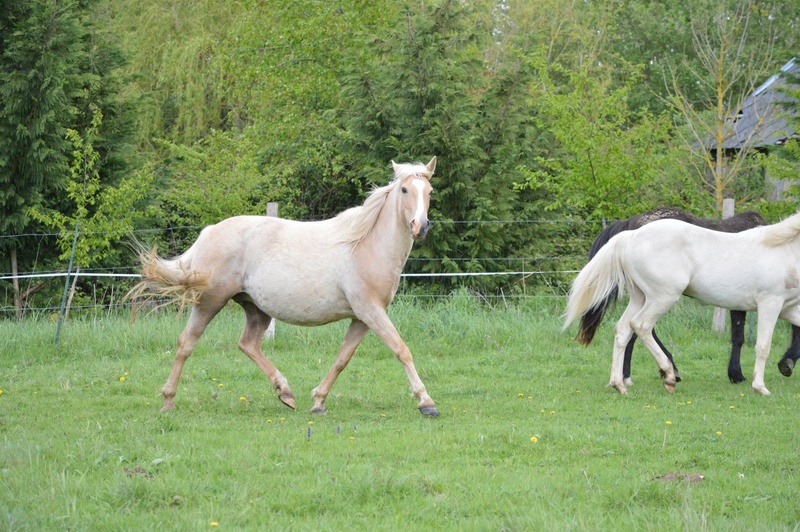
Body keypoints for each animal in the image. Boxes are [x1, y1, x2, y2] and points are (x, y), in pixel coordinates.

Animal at [133, 157, 444, 416]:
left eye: (429, 191)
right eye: (404, 190)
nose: (421, 226)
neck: (366, 245)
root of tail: (208, 232)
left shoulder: (362, 318)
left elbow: (342, 358)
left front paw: (318, 401)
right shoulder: (371, 311)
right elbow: (401, 349)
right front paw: (426, 402)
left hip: (255, 308)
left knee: (248, 344)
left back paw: (285, 392)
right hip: (210, 302)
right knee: (186, 343)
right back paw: (168, 402)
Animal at [564, 212, 800, 394]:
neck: (784, 250)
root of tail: (631, 235)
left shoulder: (788, 308)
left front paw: (784, 365)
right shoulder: (770, 304)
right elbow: (763, 345)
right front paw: (760, 386)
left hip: (641, 298)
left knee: (623, 330)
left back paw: (619, 384)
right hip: (663, 297)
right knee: (641, 326)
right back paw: (669, 374)